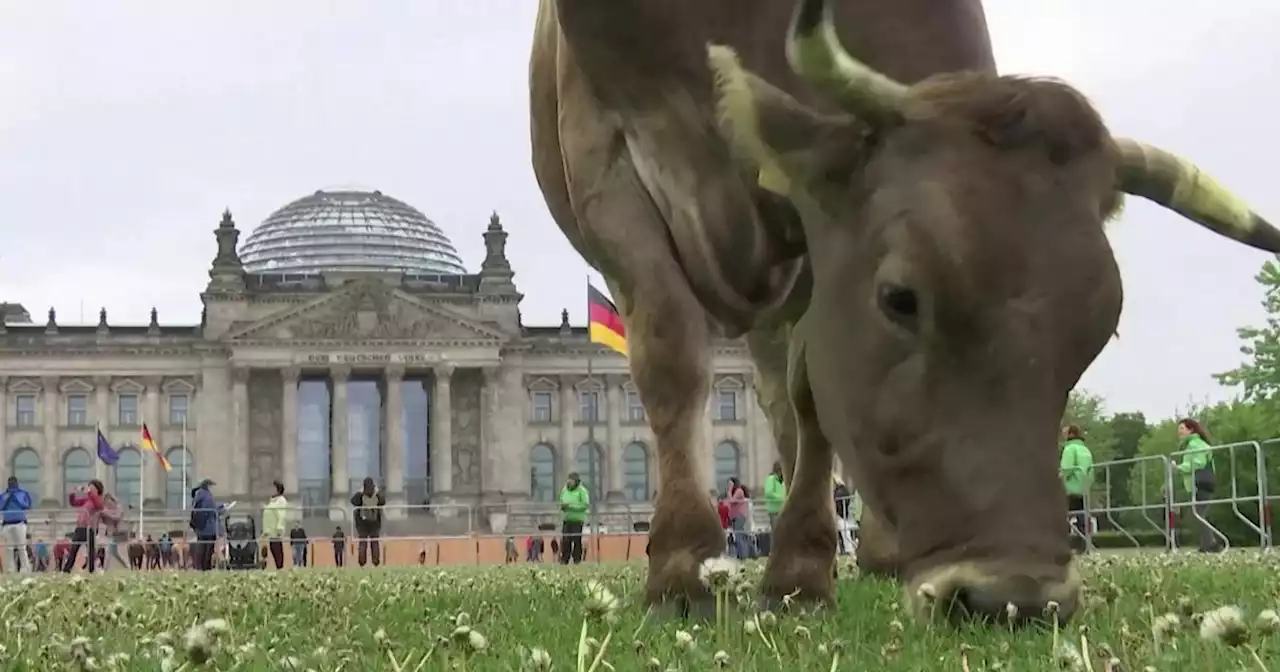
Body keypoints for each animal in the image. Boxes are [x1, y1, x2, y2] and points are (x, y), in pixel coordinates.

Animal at [524, 0, 1274, 624]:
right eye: (900, 298)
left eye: (1099, 328)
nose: (1013, 597)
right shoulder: (608, 168)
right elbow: (671, 357)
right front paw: (681, 572)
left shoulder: (813, 223)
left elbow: (811, 398)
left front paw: (799, 577)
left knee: (783, 404)